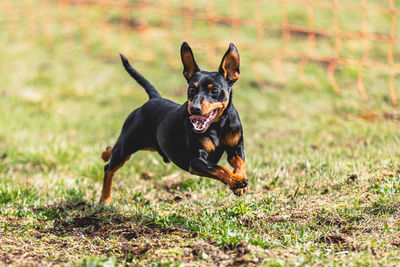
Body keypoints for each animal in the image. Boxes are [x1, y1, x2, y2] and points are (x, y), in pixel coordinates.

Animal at [100, 42, 247, 205]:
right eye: (191, 89)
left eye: (214, 90)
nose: (194, 108)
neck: (218, 126)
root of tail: (154, 98)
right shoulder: (196, 161)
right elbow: (219, 168)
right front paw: (237, 181)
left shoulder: (236, 149)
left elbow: (240, 163)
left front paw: (239, 182)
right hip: (127, 146)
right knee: (108, 168)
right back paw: (105, 198)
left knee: (111, 151)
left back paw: (105, 153)